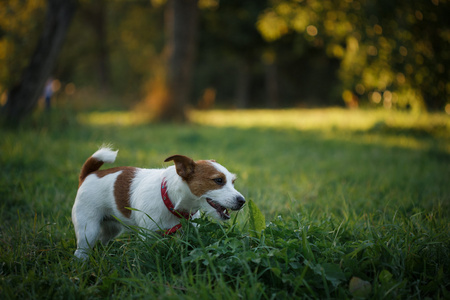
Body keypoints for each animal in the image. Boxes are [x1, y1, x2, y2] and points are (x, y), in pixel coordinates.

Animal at [72, 146, 246, 258]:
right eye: (218, 180)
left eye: (233, 182)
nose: (242, 201)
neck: (170, 201)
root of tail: (89, 175)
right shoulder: (148, 235)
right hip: (88, 229)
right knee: (82, 249)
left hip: (110, 228)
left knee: (101, 241)